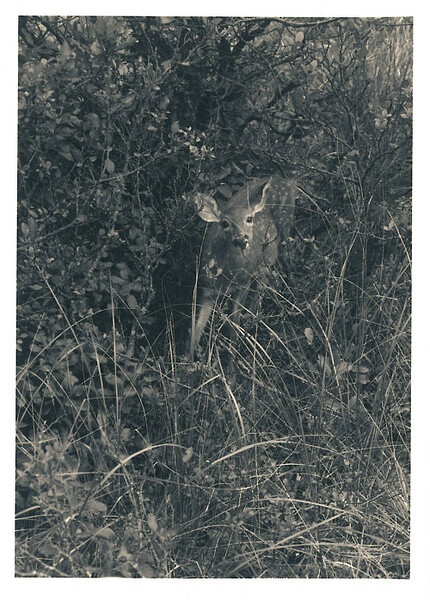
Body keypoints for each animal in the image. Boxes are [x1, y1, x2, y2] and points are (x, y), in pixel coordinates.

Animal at [190, 173, 298, 360]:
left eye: (249, 218)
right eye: (225, 223)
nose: (241, 239)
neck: (226, 276)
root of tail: (285, 180)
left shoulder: (242, 284)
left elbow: (233, 328)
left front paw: (232, 364)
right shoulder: (207, 289)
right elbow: (196, 332)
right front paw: (185, 363)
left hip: (282, 235)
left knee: (276, 272)